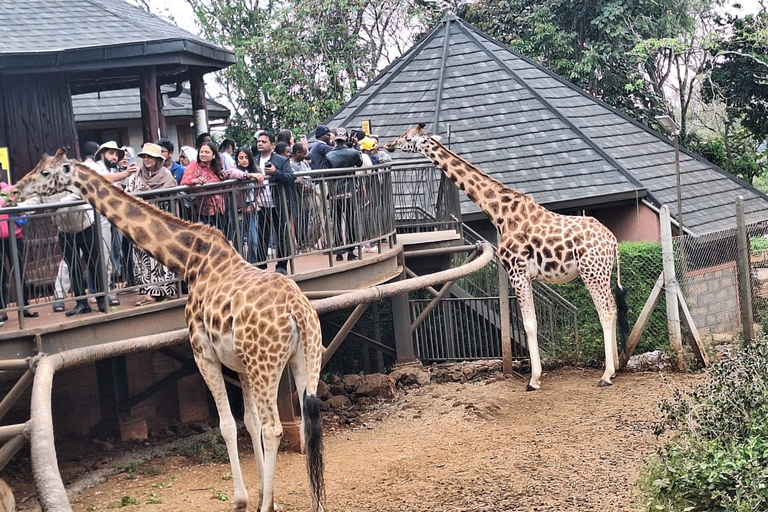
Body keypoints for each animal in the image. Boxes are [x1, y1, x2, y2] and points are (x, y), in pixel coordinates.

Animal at [17, 149, 324, 512]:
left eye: (44, 172)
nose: (16, 190)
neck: (190, 261)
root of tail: (298, 311)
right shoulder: (240, 364)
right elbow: (248, 423)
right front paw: (265, 493)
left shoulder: (203, 353)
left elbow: (227, 426)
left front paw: (245, 500)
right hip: (305, 357)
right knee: (307, 422)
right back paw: (317, 504)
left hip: (268, 364)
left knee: (274, 428)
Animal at [384, 126, 632, 390]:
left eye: (408, 138)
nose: (389, 144)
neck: (500, 213)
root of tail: (612, 240)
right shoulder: (527, 276)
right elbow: (531, 323)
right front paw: (535, 376)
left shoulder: (517, 271)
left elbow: (529, 325)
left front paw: (533, 380)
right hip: (603, 272)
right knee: (614, 308)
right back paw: (616, 368)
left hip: (591, 272)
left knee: (605, 311)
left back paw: (606, 375)